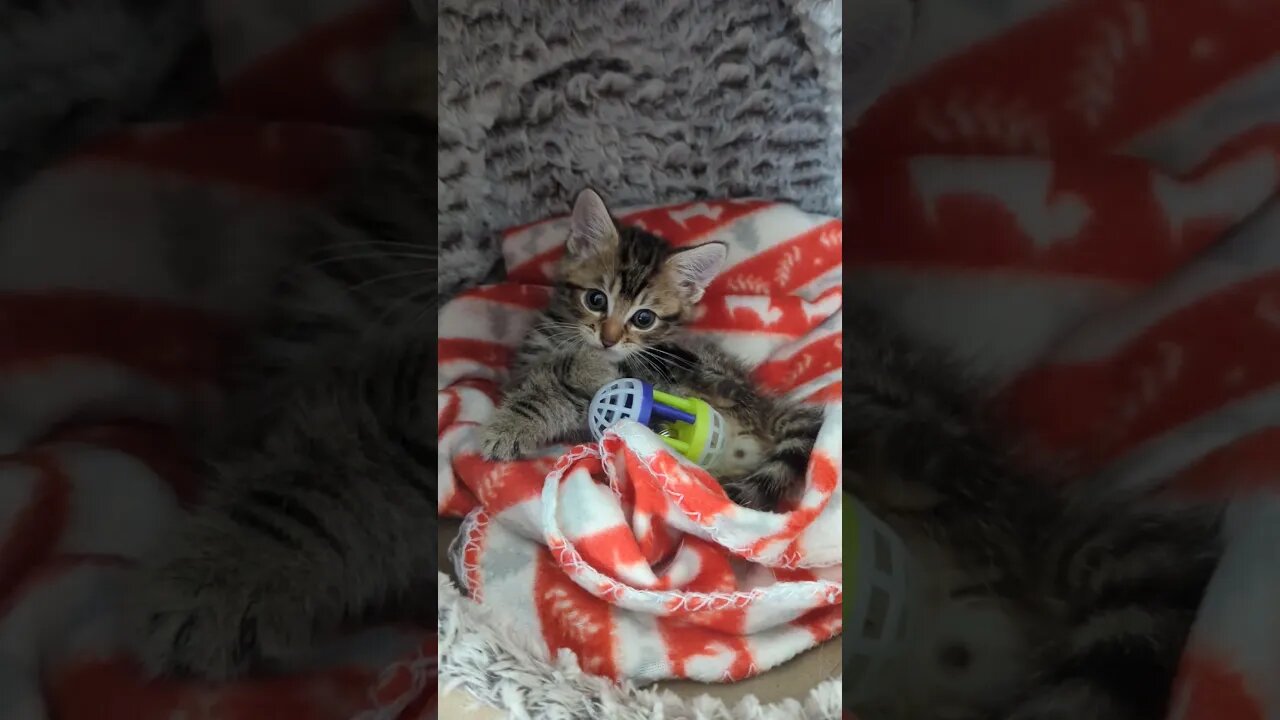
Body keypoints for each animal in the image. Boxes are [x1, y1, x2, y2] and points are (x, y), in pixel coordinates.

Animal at [478, 188, 819, 507]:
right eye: (595, 299)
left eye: (644, 318)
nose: (608, 340)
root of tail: (764, 406)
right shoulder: (528, 366)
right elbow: (548, 382)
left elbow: (558, 381)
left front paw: (505, 429)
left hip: (695, 366)